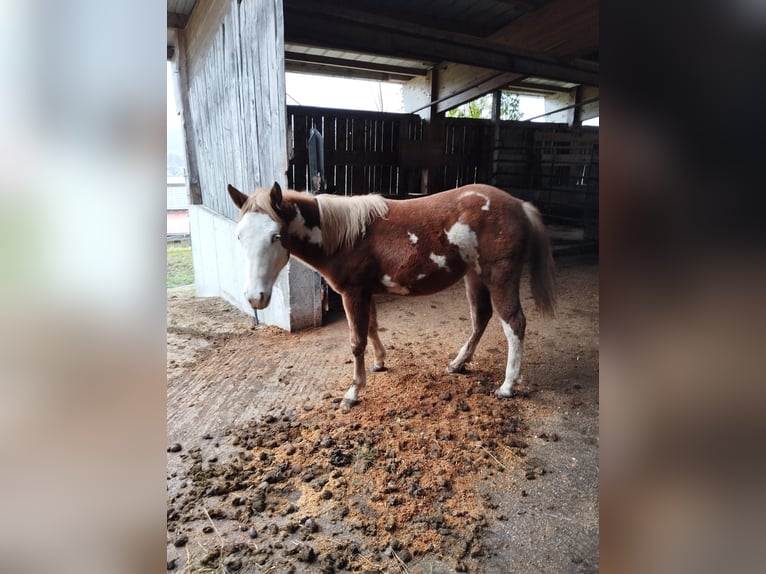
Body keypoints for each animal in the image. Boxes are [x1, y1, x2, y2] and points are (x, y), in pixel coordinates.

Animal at [225, 182, 556, 412]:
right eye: (239, 236)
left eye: (276, 236)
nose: (255, 298)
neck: (345, 236)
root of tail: (519, 205)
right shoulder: (366, 292)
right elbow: (371, 328)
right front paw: (380, 363)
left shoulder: (352, 293)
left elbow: (356, 342)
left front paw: (353, 393)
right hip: (473, 277)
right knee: (481, 318)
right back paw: (457, 364)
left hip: (500, 278)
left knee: (513, 323)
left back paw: (507, 386)